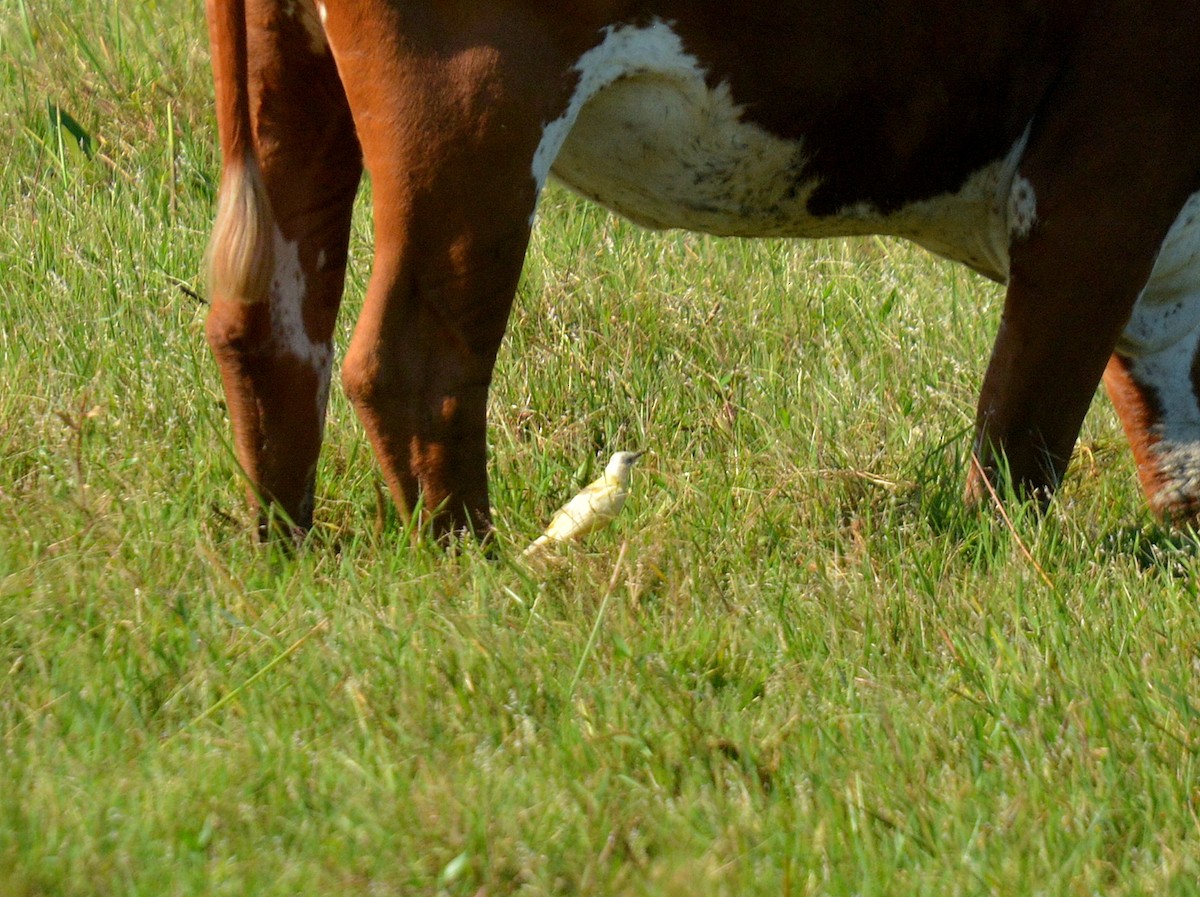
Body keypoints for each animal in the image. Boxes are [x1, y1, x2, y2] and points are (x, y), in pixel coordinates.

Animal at [204, 0, 1200, 542]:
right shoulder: (1103, 179)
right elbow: (1026, 426)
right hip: (473, 110)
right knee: (412, 363)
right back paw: (470, 565)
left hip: (290, 92)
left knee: (269, 331)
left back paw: (285, 548)